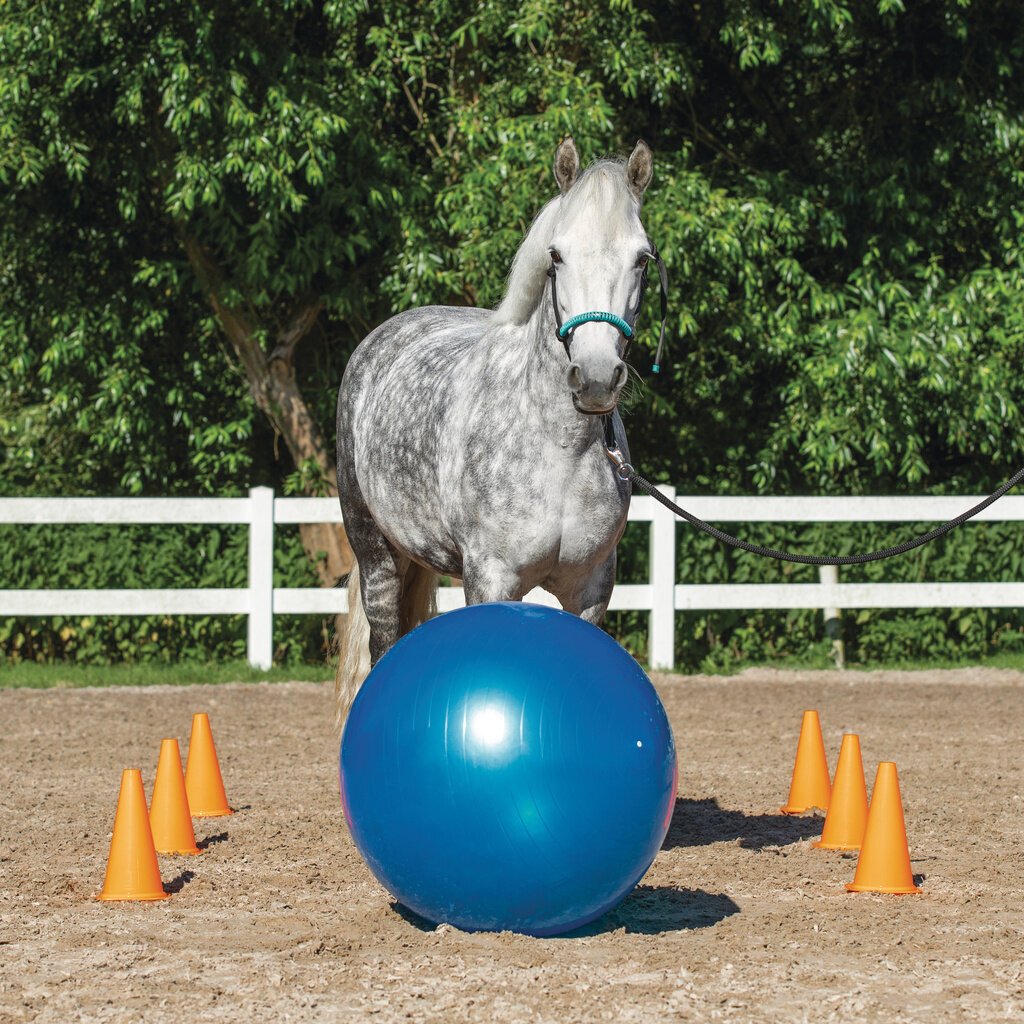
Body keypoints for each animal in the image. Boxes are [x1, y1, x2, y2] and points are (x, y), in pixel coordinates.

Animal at [335, 137, 660, 717]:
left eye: (641, 258)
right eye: (556, 255)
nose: (596, 377)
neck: (560, 447)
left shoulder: (591, 588)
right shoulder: (491, 577)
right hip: (375, 553)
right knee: (382, 640)